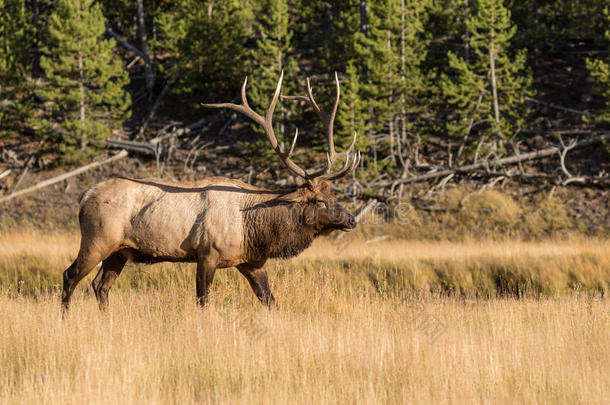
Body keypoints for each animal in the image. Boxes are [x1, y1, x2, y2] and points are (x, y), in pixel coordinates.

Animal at [61, 72, 356, 310]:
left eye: (334, 194)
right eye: (319, 200)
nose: (352, 219)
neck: (254, 227)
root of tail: (84, 198)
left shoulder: (251, 262)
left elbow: (270, 301)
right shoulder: (207, 253)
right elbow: (203, 301)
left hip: (120, 251)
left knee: (100, 286)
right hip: (97, 239)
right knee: (70, 276)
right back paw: (65, 319)